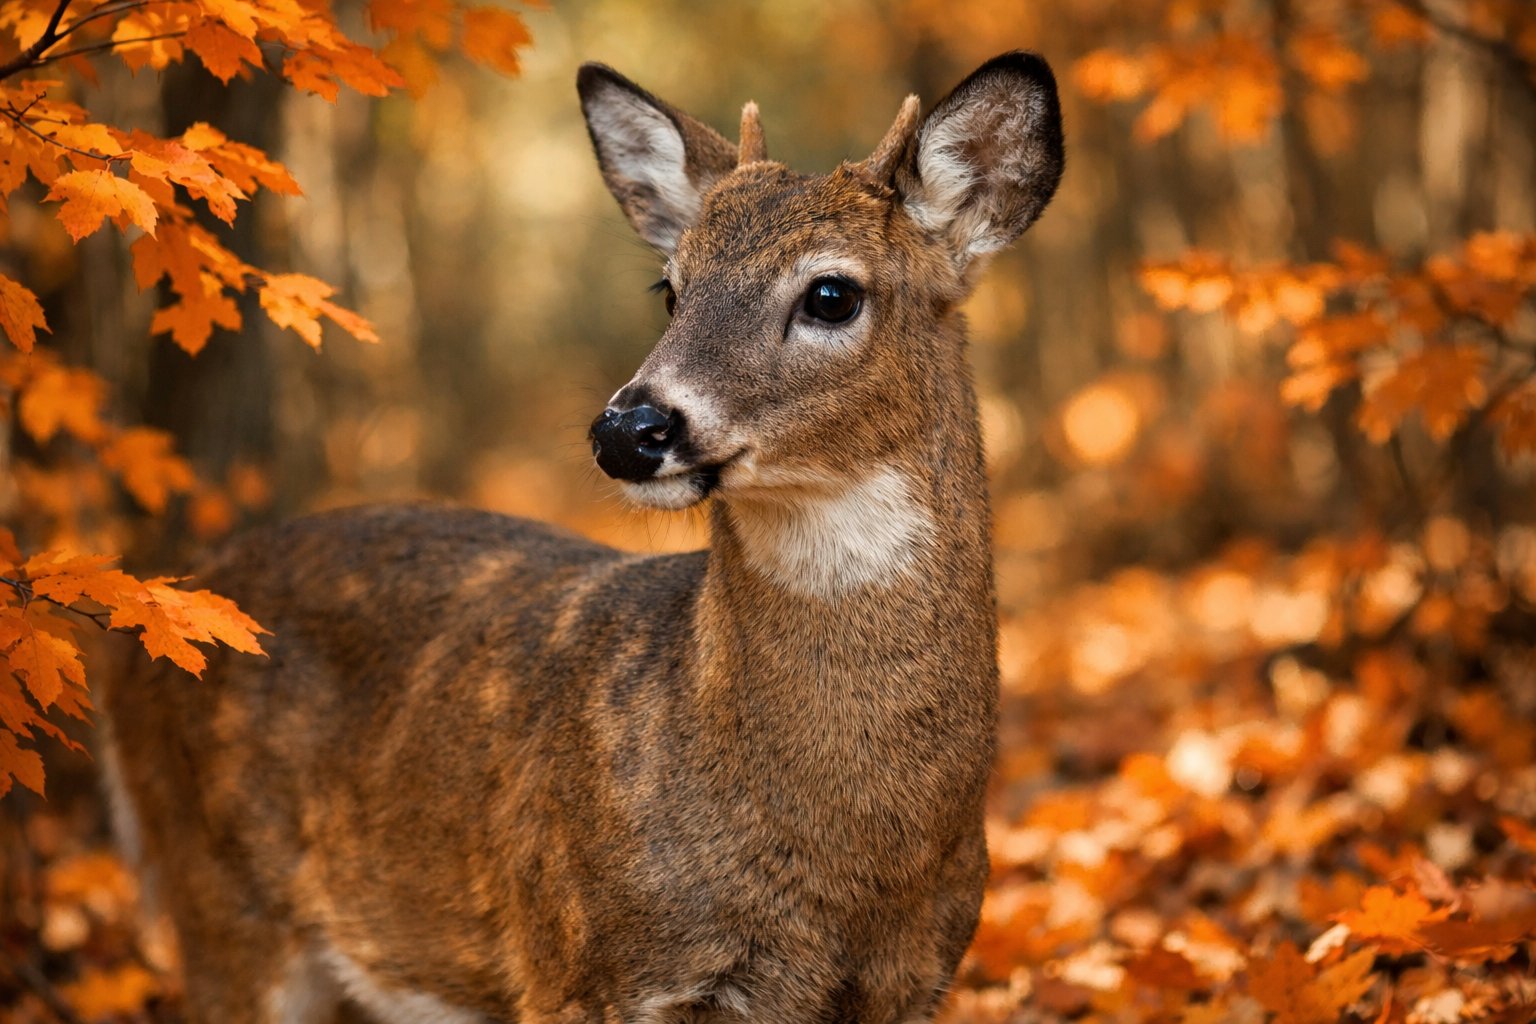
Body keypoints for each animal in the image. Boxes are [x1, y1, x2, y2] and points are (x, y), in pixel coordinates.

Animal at [99, 50, 1064, 1024]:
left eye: (832, 293)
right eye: (671, 287)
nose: (629, 429)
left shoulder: (920, 976)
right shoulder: (580, 963)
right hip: (217, 891)